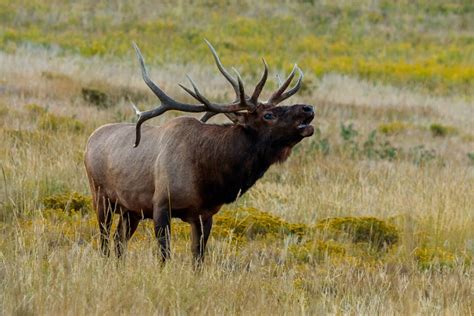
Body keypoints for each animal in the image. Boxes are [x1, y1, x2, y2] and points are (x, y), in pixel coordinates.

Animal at [85, 40, 314, 264]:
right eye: (268, 115)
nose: (308, 108)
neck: (208, 177)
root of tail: (89, 139)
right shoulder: (161, 204)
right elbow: (165, 255)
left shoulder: (205, 214)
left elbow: (198, 257)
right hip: (101, 197)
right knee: (104, 240)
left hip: (130, 210)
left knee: (118, 242)